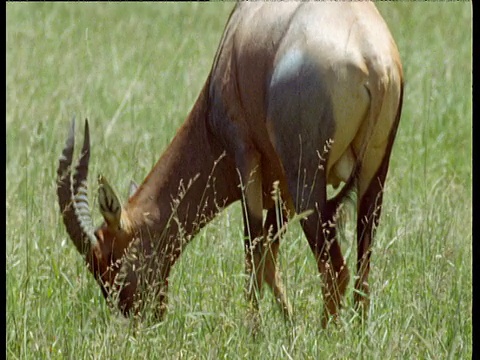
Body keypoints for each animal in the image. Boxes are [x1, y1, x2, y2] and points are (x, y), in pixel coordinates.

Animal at [56, 1, 404, 326]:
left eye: (109, 259)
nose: (138, 319)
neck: (236, 36)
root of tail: (374, 62)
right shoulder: (280, 186)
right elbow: (268, 256)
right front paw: (288, 324)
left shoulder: (246, 156)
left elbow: (252, 246)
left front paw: (255, 332)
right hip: (374, 172)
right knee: (362, 266)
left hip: (306, 181)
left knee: (335, 270)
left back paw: (326, 334)